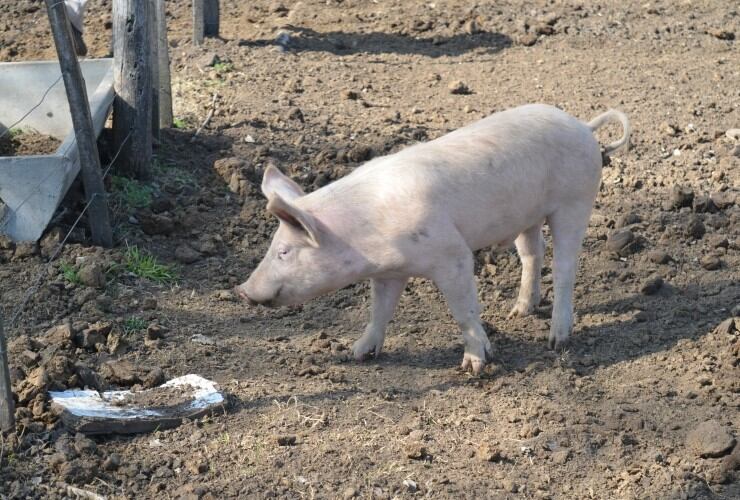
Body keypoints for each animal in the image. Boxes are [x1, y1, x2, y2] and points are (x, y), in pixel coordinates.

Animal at [237, 103, 632, 374]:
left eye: (284, 251)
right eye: (273, 247)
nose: (242, 290)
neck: (364, 235)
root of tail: (583, 126)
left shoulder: (452, 254)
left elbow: (463, 310)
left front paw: (474, 365)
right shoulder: (388, 273)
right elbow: (379, 311)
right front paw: (358, 352)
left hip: (574, 201)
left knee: (565, 267)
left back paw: (556, 339)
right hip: (528, 215)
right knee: (533, 253)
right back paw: (519, 311)